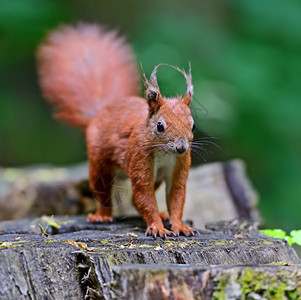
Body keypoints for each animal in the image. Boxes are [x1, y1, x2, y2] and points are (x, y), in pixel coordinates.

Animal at [37, 23, 197, 238]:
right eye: (160, 126)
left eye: (193, 125)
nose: (181, 147)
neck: (166, 154)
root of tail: (101, 112)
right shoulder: (139, 157)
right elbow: (144, 196)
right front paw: (156, 228)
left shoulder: (180, 166)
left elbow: (176, 198)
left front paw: (180, 226)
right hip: (99, 164)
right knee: (104, 192)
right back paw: (101, 216)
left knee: (133, 200)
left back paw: (162, 214)